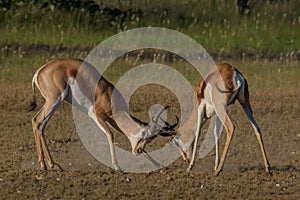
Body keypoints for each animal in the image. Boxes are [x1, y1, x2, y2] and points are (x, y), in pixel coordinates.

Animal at [27, 57, 177, 170]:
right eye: (146, 136)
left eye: (151, 139)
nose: (137, 151)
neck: (109, 96)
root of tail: (39, 72)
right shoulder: (96, 115)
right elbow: (110, 135)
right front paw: (117, 166)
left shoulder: (112, 120)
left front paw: (158, 164)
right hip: (55, 99)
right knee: (36, 121)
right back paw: (45, 165)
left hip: (53, 102)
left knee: (41, 125)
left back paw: (52, 164)